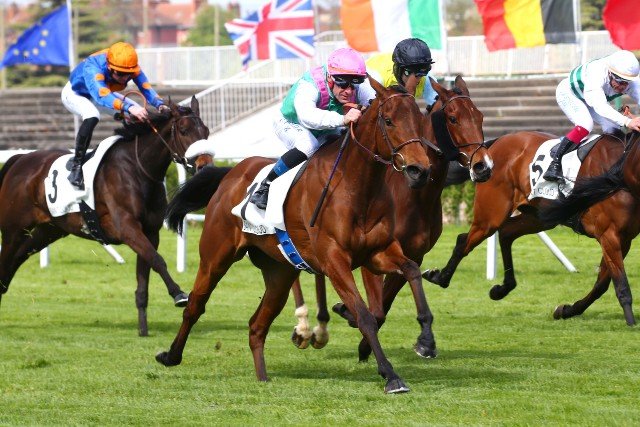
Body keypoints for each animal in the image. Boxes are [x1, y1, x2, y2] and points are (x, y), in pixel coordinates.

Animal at [0, 97, 211, 336]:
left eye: (206, 131)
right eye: (184, 130)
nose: (205, 165)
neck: (138, 169)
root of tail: (19, 159)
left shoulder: (150, 232)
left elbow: (145, 273)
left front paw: (143, 329)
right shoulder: (127, 228)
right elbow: (157, 260)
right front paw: (179, 295)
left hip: (48, 230)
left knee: (17, 258)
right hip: (13, 229)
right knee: (7, 258)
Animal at [156, 77, 436, 393]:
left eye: (419, 121)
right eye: (388, 121)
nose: (419, 170)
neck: (356, 186)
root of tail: (231, 174)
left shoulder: (378, 252)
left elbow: (411, 270)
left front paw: (426, 339)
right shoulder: (334, 261)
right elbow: (364, 315)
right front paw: (391, 375)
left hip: (280, 271)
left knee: (257, 325)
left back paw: (262, 377)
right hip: (216, 257)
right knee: (195, 305)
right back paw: (171, 355)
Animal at [289, 76, 494, 361]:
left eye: (480, 116)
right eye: (453, 118)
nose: (483, 166)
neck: (414, 195)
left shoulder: (410, 254)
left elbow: (387, 300)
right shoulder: (370, 257)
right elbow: (376, 308)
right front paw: (353, 319)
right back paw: (303, 327)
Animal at [422, 131, 640, 325]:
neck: (620, 172)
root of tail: (492, 146)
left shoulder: (623, 239)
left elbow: (602, 284)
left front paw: (567, 310)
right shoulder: (609, 235)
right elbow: (620, 284)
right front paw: (631, 322)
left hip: (539, 216)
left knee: (506, 233)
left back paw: (502, 287)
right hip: (491, 216)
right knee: (465, 241)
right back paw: (440, 277)